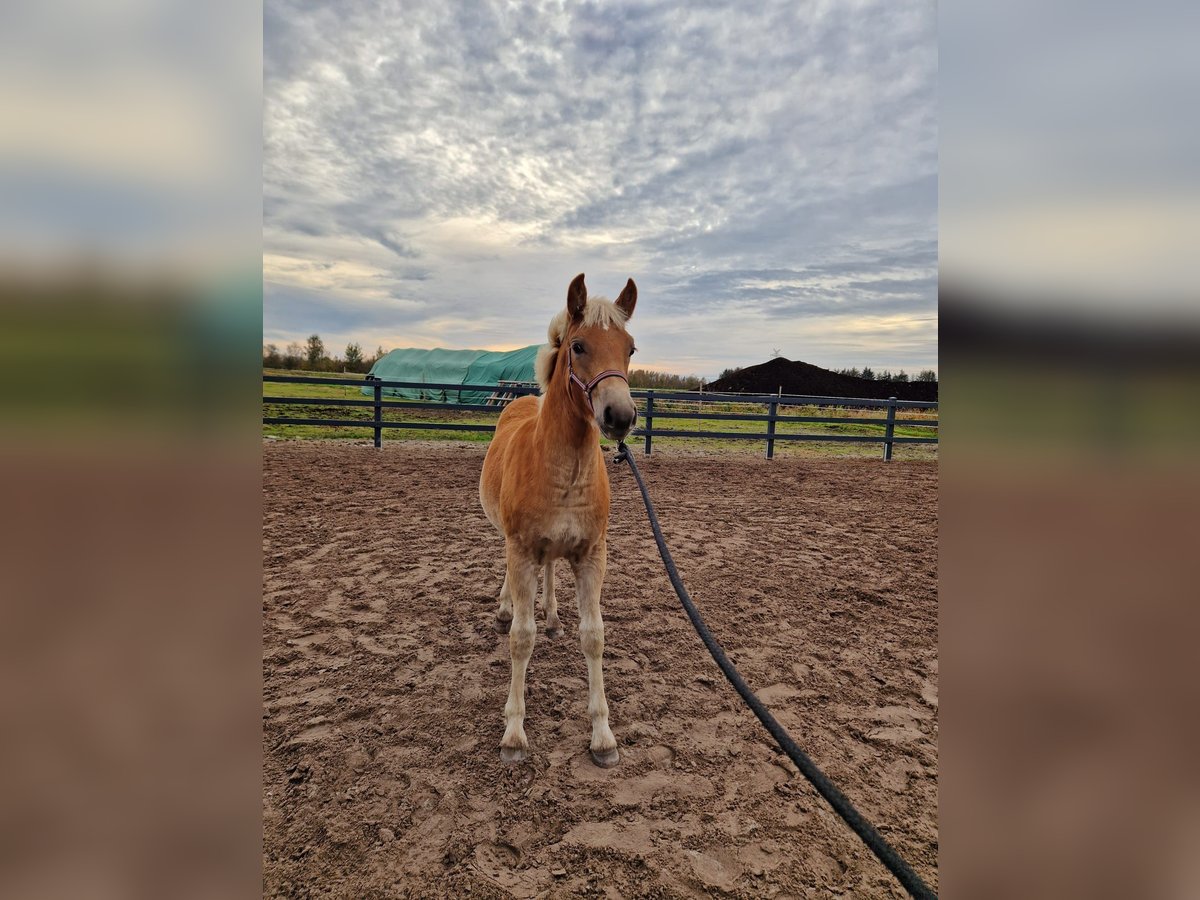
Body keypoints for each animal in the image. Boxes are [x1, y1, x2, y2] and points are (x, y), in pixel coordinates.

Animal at [477, 273, 638, 768]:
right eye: (579, 346)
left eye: (630, 348)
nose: (620, 416)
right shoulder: (521, 549)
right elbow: (520, 638)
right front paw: (513, 733)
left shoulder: (591, 556)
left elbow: (594, 637)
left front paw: (603, 736)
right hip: (512, 544)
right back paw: (506, 606)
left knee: (550, 572)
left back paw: (550, 615)